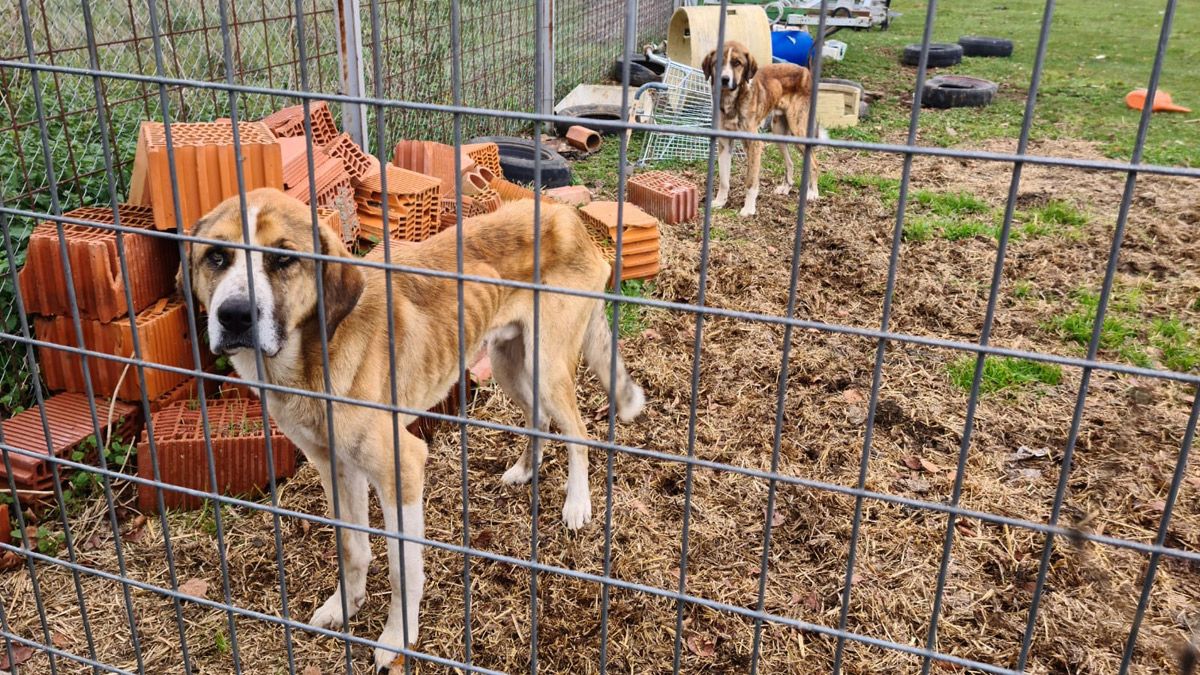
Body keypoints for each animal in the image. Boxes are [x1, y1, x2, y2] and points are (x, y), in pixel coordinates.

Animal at [181, 187, 643, 667]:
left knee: (578, 433)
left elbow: (403, 570)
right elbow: (351, 547)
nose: (234, 316)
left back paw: (577, 504)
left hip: (546, 365)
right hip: (507, 363)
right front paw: (344, 607)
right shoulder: (334, 467)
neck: (311, 360)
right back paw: (524, 470)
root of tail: (564, 216)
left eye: (283, 258)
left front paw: (396, 638)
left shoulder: (400, 470)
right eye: (216, 257)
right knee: (537, 419)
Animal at [700, 38, 825, 214]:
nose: (724, 79)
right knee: (790, 162)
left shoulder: (754, 144)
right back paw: (786, 188)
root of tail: (805, 70)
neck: (731, 100)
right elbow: (724, 179)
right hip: (778, 132)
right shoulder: (724, 142)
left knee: (814, 162)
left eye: (737, 63)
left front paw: (749, 209)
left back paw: (813, 193)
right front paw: (719, 202)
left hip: (798, 130)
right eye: (717, 62)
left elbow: (751, 181)